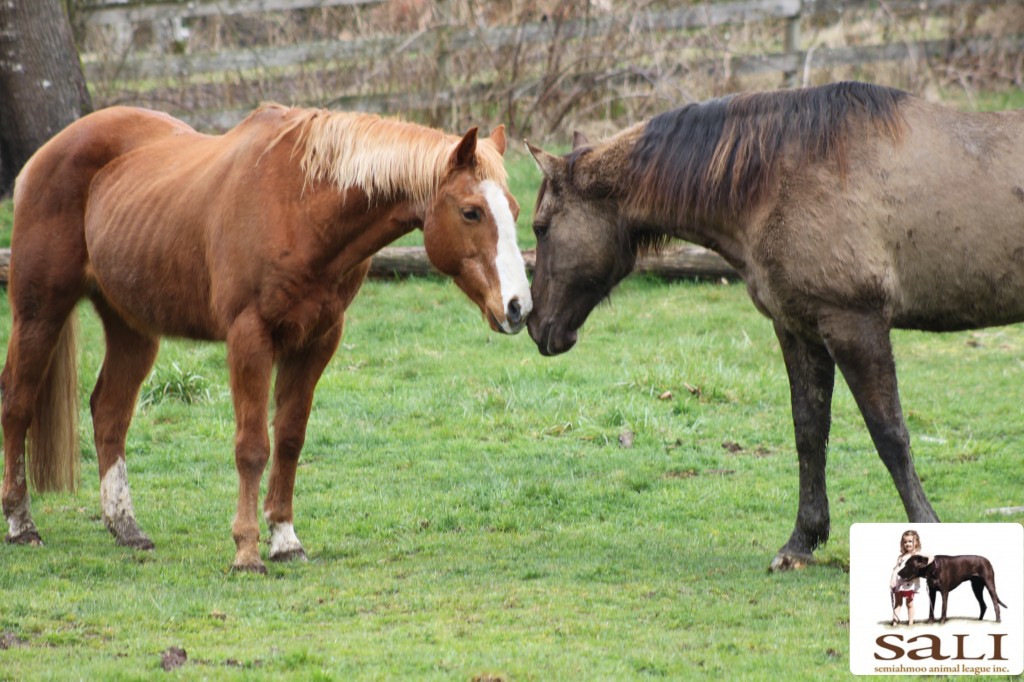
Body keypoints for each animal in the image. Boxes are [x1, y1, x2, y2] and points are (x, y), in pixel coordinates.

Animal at [6, 102, 536, 569]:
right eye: (471, 211)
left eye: (512, 209)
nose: (519, 307)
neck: (302, 207)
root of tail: (46, 153)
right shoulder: (250, 337)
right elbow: (252, 446)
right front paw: (247, 552)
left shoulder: (317, 341)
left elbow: (290, 440)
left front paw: (285, 540)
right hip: (39, 312)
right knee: (17, 403)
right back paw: (21, 524)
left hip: (132, 327)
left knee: (110, 412)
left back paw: (126, 527)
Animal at [528, 79, 1024, 569]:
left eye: (540, 227)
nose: (535, 325)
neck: (778, 180)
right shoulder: (799, 328)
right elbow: (809, 432)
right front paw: (802, 540)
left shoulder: (854, 322)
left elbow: (890, 436)